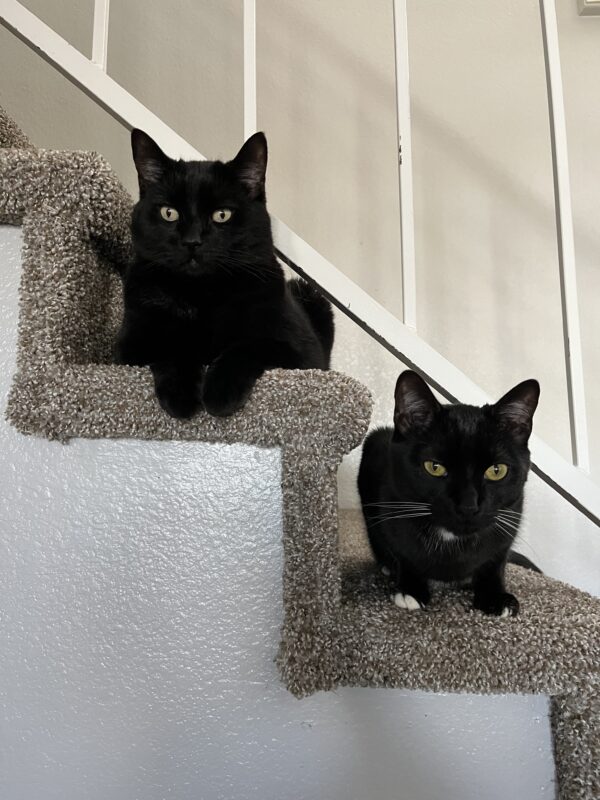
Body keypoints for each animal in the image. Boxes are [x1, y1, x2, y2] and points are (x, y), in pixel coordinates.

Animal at [116, 130, 332, 418]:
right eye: (169, 213)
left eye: (222, 215)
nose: (192, 241)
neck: (203, 295)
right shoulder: (128, 346)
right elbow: (170, 345)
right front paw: (181, 396)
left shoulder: (302, 354)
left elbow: (248, 346)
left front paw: (220, 394)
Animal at [358, 370, 540, 620]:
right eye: (434, 467)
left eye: (497, 470)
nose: (468, 505)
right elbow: (403, 551)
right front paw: (411, 590)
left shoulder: (510, 518)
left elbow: (495, 563)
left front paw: (495, 598)